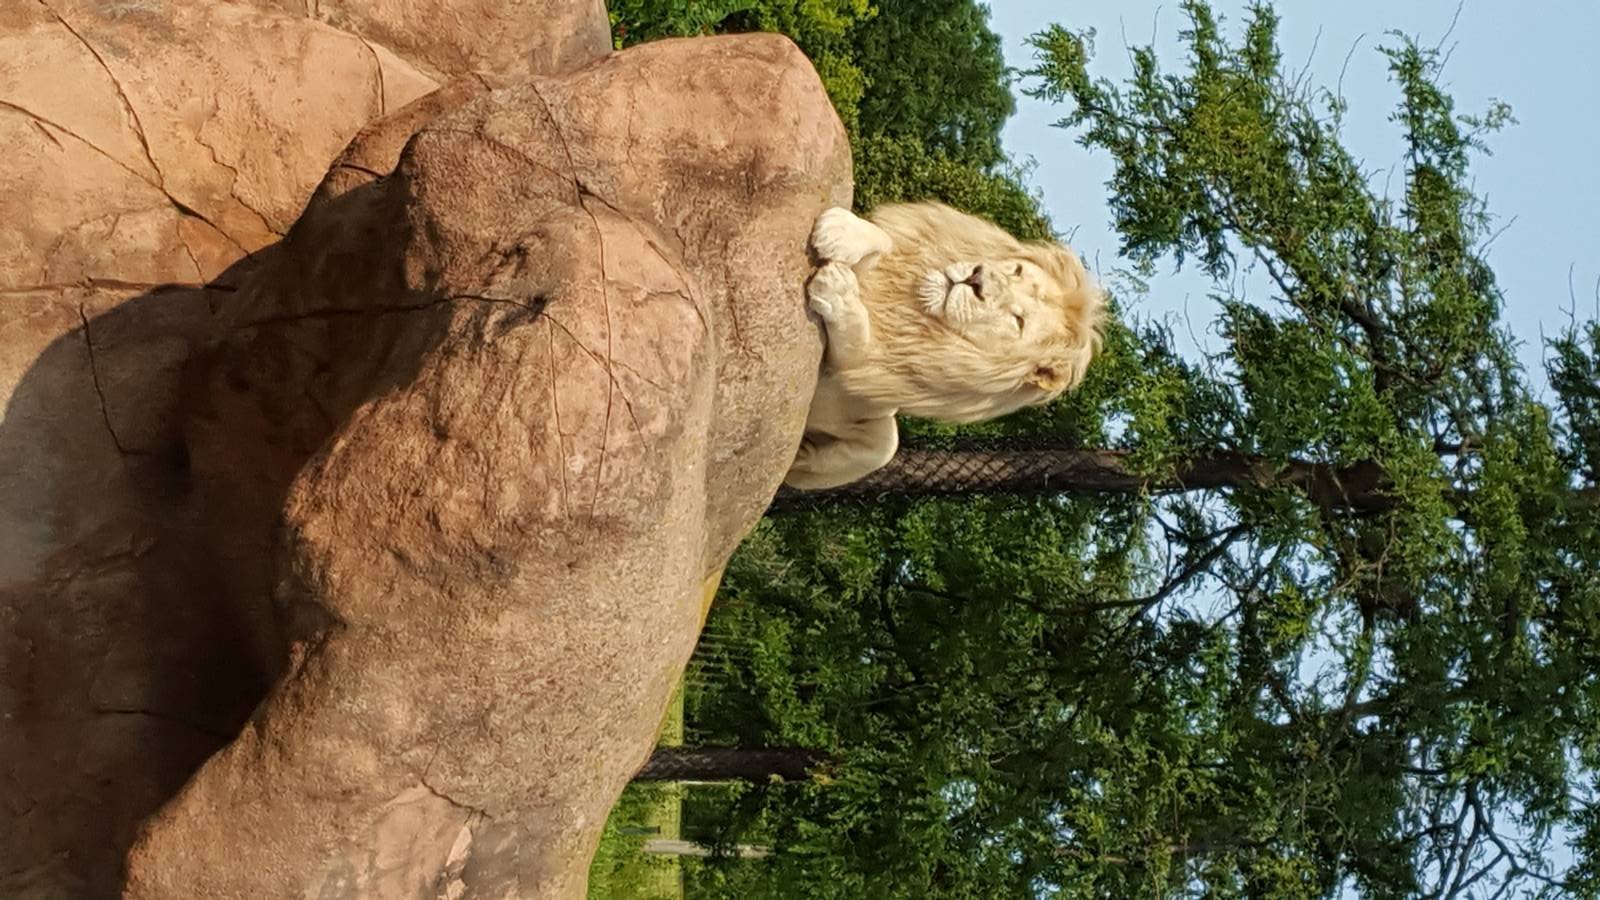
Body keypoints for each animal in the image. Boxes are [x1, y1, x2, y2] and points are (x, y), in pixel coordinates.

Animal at [785, 202, 1105, 490]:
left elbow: (883, 437)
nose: (977, 279)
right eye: (1017, 270)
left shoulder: (871, 378)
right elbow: (883, 238)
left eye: (1019, 321)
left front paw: (837, 290)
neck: (918, 318)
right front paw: (839, 231)